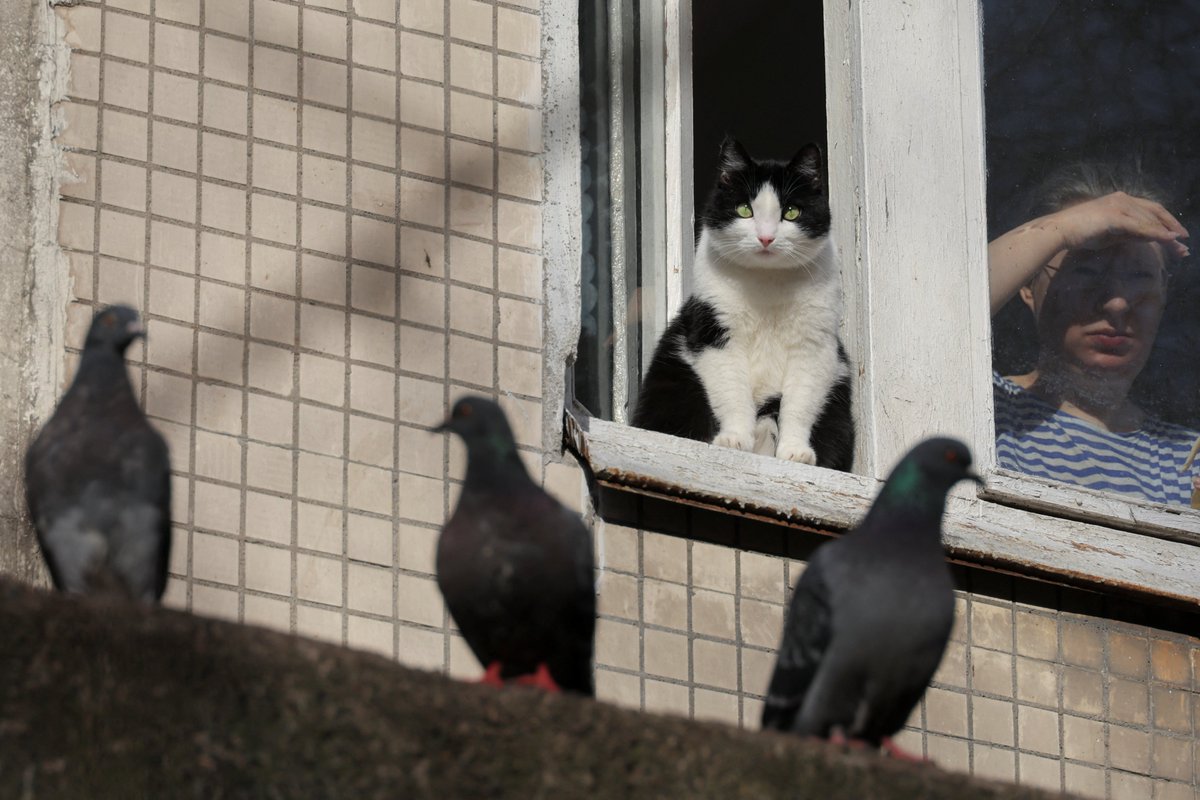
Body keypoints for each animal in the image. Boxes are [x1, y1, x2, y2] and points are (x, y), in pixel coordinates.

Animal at [633, 137, 859, 472]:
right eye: (744, 209)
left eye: (791, 212)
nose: (766, 238)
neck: (767, 286)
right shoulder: (715, 334)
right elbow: (732, 393)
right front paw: (734, 440)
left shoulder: (815, 345)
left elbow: (800, 402)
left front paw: (795, 452)